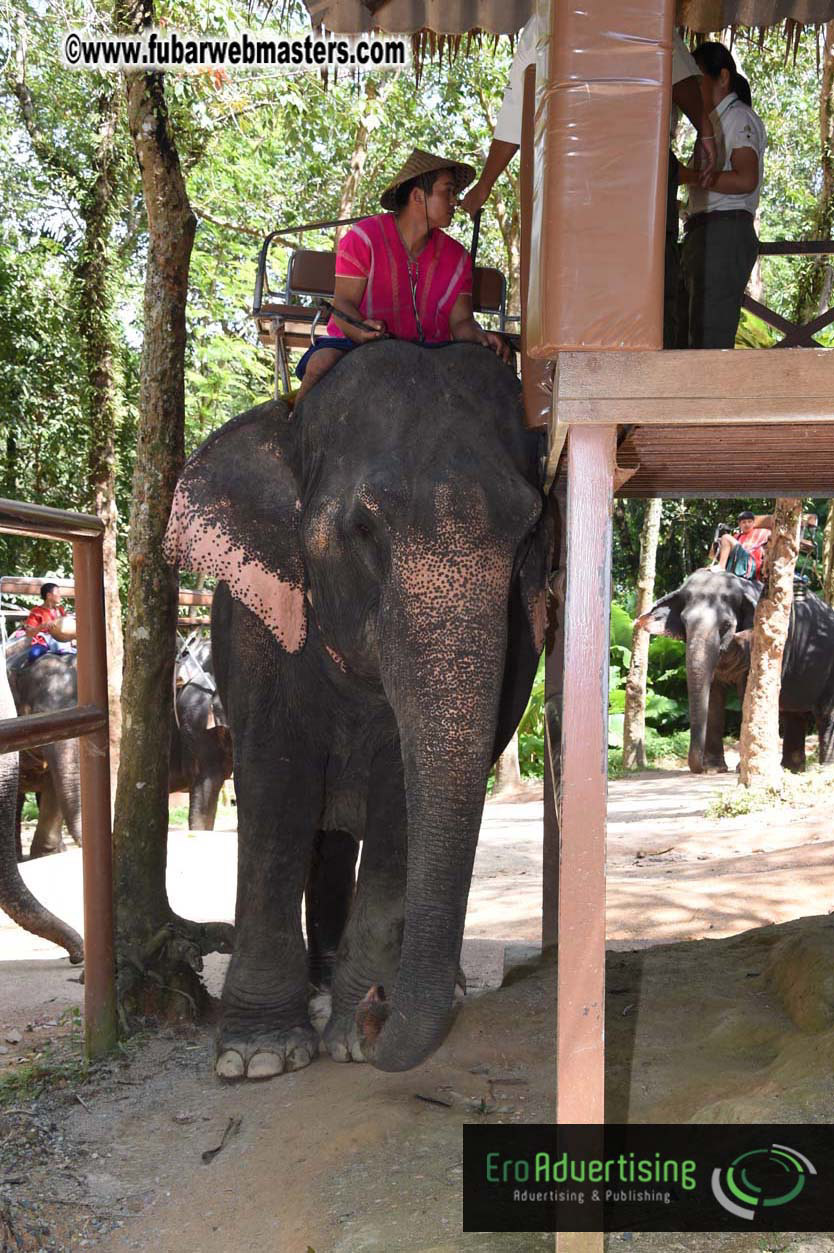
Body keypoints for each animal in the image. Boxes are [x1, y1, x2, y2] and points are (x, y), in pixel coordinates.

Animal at [164, 340, 552, 1080]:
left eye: (527, 534)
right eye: (364, 528)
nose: (380, 1005)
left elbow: (401, 795)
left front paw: (348, 1038)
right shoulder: (260, 624)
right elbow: (277, 789)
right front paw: (258, 1057)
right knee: (321, 837)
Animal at [639, 568, 834, 774]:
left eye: (726, 625)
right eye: (684, 622)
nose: (698, 768)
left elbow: (747, 693)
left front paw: (742, 768)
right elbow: (713, 696)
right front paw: (714, 769)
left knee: (824, 713)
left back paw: (824, 769)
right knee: (794, 713)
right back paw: (791, 770)